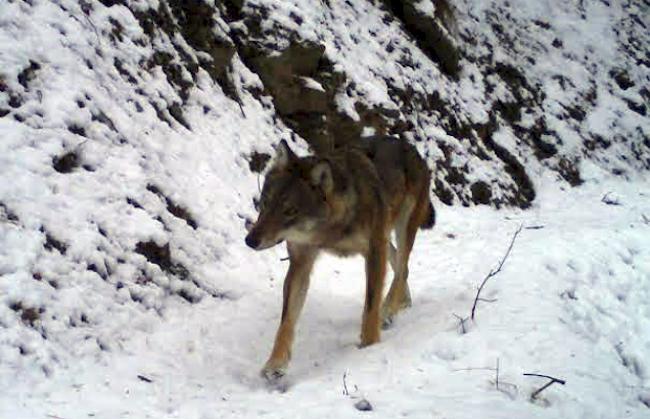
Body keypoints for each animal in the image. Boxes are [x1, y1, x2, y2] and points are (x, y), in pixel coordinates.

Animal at [246, 138, 432, 380]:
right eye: (265, 202)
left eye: (290, 211)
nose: (250, 240)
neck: (330, 229)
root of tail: (411, 148)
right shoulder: (300, 263)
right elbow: (286, 322)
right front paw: (275, 364)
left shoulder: (373, 251)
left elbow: (370, 307)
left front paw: (369, 347)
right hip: (386, 238)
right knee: (401, 266)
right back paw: (402, 303)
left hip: (403, 228)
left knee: (401, 268)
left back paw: (389, 311)